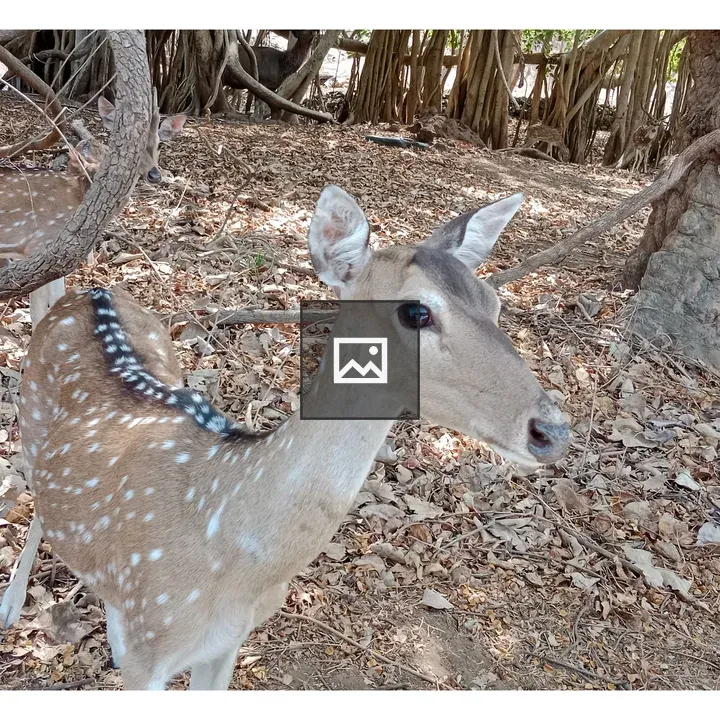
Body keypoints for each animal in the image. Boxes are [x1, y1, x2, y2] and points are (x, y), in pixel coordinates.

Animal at [1, 185, 570, 689]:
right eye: (415, 311)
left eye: (494, 302)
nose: (553, 430)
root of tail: (89, 289)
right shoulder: (147, 650)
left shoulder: (224, 644)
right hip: (28, 419)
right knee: (36, 502)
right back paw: (13, 603)